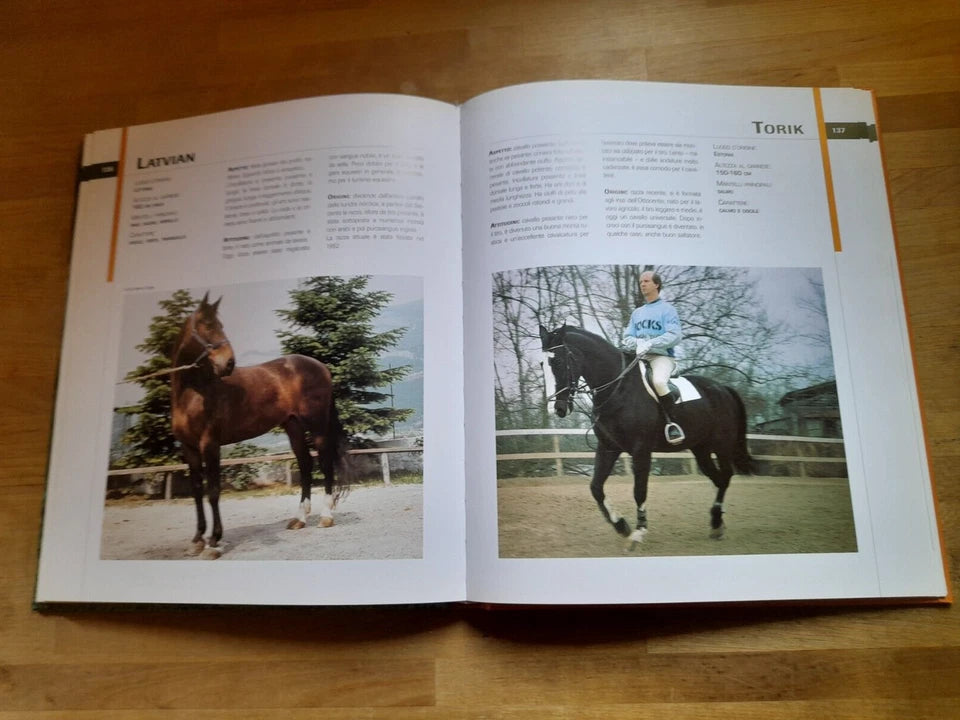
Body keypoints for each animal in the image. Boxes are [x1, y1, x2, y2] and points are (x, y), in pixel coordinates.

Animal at [170, 293, 347, 558]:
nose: (229, 363)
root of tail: (321, 366)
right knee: (305, 465)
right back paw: (300, 519)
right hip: (293, 426)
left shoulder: (210, 444)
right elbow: (197, 492)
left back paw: (326, 516)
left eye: (221, 325)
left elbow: (213, 492)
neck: (193, 392)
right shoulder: (189, 448)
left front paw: (213, 542)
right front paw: (197, 540)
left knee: (324, 462)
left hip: (316, 425)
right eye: (208, 326)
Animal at [538, 324, 754, 546]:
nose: (556, 409)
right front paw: (621, 525)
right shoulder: (608, 448)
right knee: (717, 479)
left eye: (558, 362)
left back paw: (717, 521)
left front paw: (639, 531)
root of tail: (723, 388)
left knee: (725, 476)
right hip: (701, 449)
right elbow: (596, 488)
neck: (618, 389)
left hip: (721, 445)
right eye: (542, 364)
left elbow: (639, 490)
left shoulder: (641, 450)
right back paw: (717, 524)